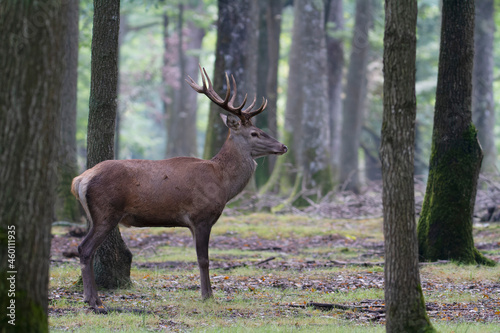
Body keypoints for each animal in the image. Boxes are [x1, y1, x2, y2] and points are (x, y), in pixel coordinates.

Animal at [72, 65, 288, 308]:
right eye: (254, 133)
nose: (283, 146)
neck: (223, 182)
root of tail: (80, 179)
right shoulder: (201, 215)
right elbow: (204, 259)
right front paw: (208, 295)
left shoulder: (192, 223)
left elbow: (198, 257)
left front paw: (205, 293)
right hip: (106, 212)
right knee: (84, 248)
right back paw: (93, 300)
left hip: (95, 215)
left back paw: (91, 297)